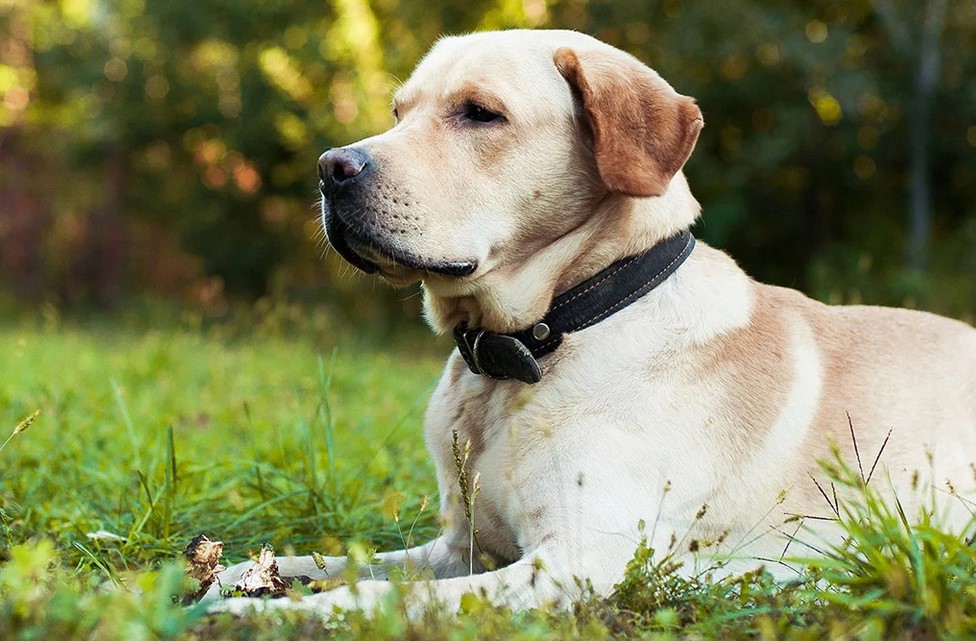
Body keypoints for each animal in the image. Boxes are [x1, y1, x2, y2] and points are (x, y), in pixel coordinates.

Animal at [210, 30, 976, 616]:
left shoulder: (577, 560)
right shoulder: (460, 546)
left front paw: (268, 615)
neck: (533, 346)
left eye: (479, 113)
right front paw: (241, 576)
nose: (329, 167)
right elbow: (340, 561)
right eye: (399, 111)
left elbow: (376, 596)